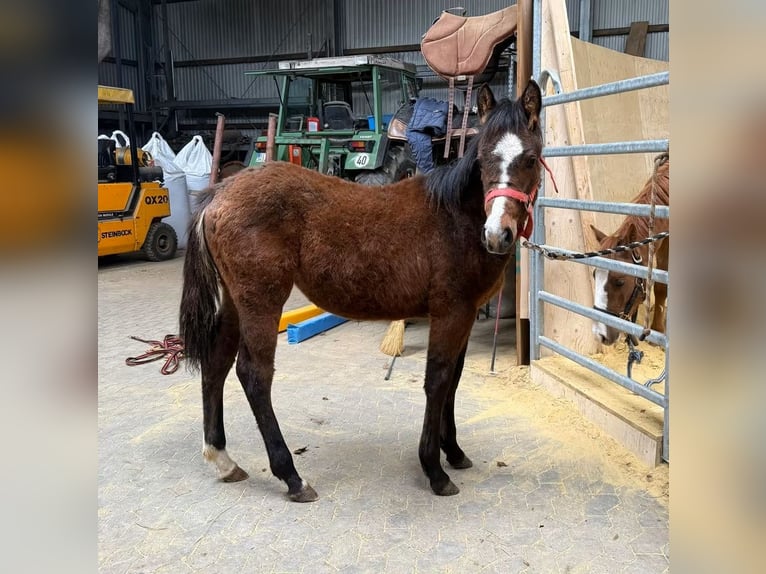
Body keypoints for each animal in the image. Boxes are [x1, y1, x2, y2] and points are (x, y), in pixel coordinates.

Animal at [178, 80, 545, 502]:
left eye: (530, 159)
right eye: (483, 158)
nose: (497, 235)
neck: (454, 217)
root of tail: (219, 194)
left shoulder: (465, 315)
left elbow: (453, 378)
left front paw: (453, 452)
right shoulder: (451, 312)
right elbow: (437, 380)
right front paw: (434, 469)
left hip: (235, 302)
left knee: (216, 363)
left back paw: (222, 459)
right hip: (262, 301)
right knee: (254, 375)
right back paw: (292, 477)